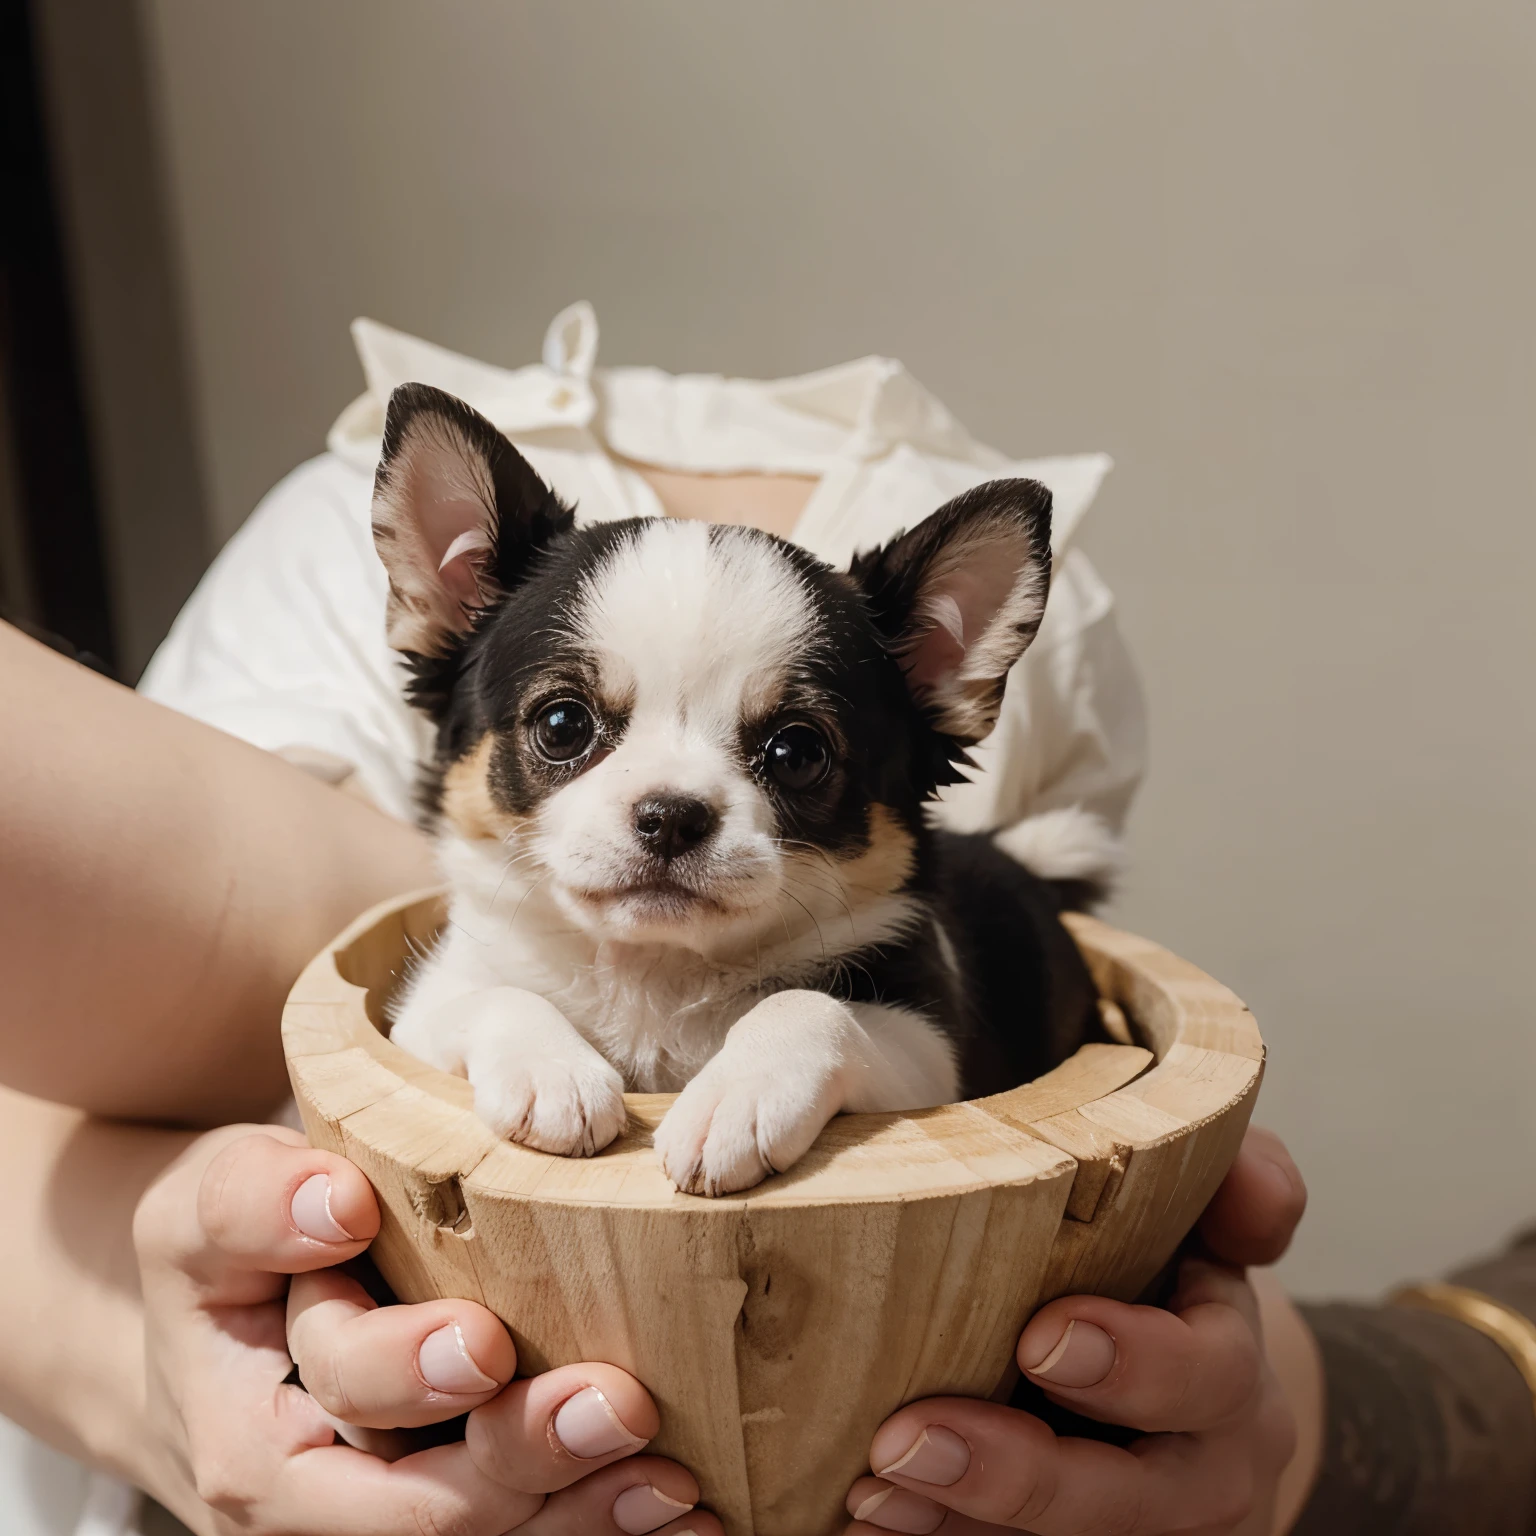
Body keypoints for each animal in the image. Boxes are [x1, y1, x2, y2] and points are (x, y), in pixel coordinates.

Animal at [371, 384, 1118, 1198]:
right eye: (562, 725)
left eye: (796, 753)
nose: (670, 815)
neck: (655, 976)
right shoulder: (422, 1013)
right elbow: (494, 995)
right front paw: (554, 1072)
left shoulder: (929, 1047)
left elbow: (809, 1005)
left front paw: (733, 1099)